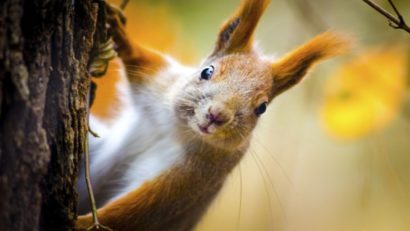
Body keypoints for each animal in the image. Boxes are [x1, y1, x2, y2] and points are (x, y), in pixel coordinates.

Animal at [76, 0, 350, 231]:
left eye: (262, 108)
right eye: (206, 71)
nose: (217, 115)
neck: (179, 129)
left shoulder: (193, 179)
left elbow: (137, 210)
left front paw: (79, 223)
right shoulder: (160, 84)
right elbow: (140, 61)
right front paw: (118, 30)